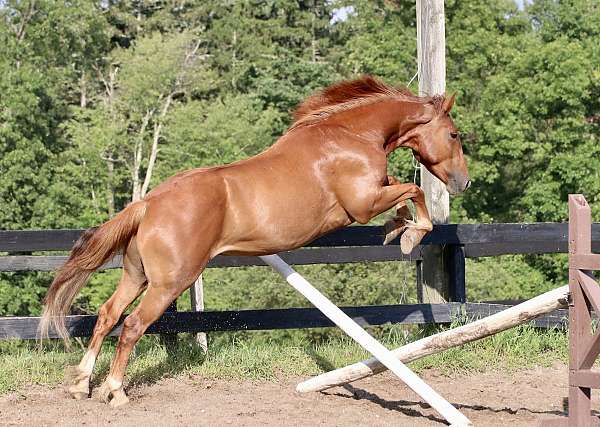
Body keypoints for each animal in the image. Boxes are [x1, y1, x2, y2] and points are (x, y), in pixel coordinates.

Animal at [38, 75, 468, 406]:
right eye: (453, 133)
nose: (463, 183)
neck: (349, 135)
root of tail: (149, 203)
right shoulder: (361, 205)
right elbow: (413, 190)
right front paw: (409, 234)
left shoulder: (372, 195)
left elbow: (402, 190)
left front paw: (398, 228)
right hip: (169, 283)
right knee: (131, 325)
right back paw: (114, 391)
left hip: (137, 274)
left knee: (108, 315)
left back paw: (81, 384)